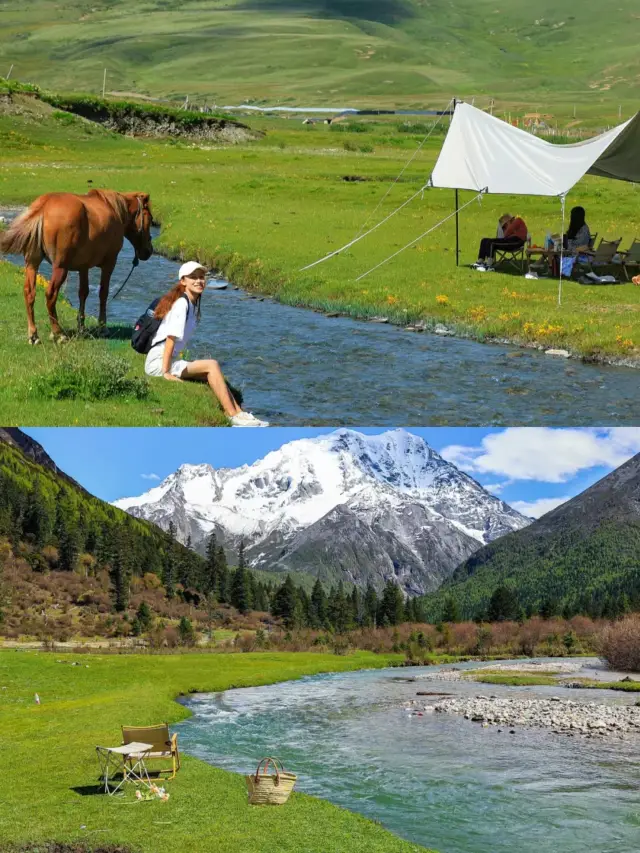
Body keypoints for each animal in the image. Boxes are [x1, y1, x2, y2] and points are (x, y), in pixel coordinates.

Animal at [0, 190, 154, 342]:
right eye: (150, 218)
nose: (149, 251)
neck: (115, 209)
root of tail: (43, 206)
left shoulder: (83, 267)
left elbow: (83, 293)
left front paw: (81, 327)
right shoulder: (109, 263)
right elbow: (103, 293)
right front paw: (102, 327)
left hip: (32, 264)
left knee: (29, 293)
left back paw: (33, 335)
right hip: (60, 268)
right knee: (51, 295)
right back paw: (58, 333)